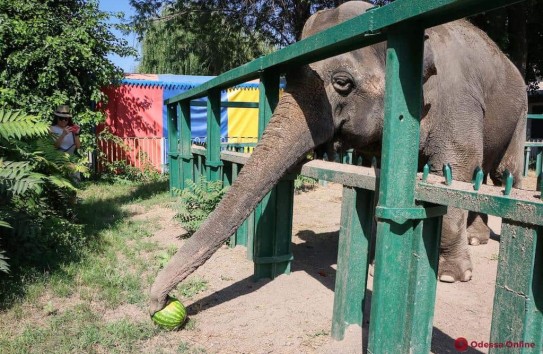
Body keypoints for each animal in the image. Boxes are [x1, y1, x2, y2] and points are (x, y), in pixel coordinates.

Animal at [149, 0, 528, 316]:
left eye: (342, 82)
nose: (160, 304)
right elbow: (381, 175)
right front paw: (374, 263)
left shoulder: (456, 102)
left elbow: (456, 167)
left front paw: (450, 277)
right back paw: (478, 238)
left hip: (521, 113)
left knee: (499, 173)